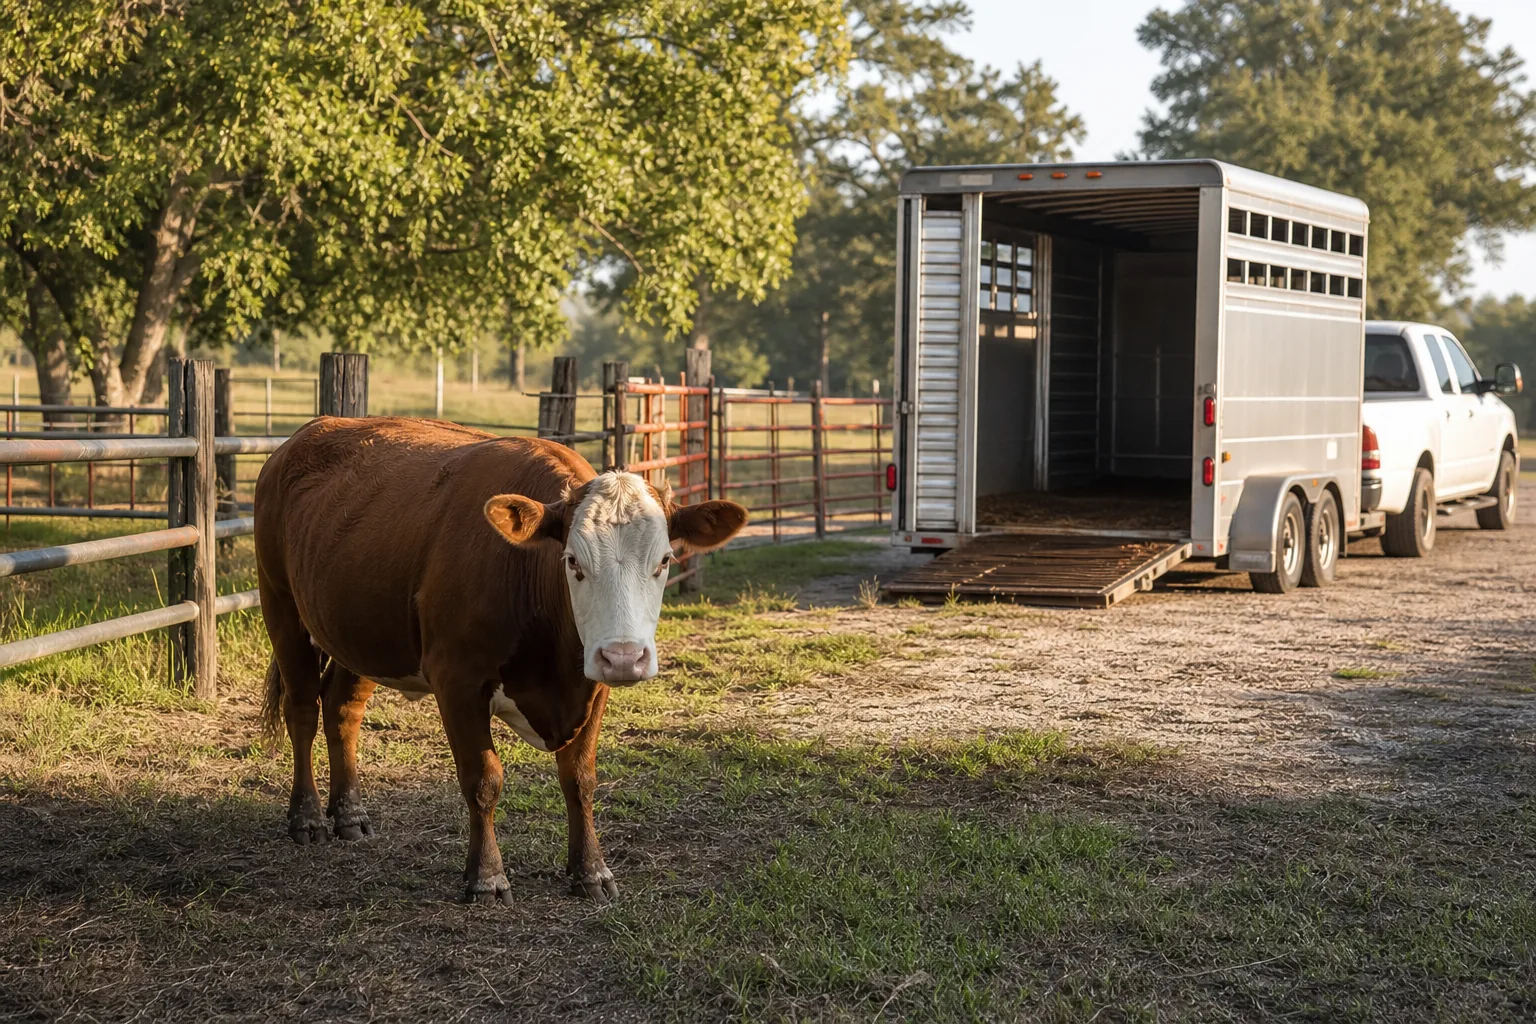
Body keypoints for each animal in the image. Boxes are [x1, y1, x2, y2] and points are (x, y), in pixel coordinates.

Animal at [254, 416, 747, 904]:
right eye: (573, 561)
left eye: (664, 560)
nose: (624, 656)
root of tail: (303, 435)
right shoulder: (457, 681)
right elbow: (483, 779)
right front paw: (487, 876)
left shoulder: (592, 683)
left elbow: (580, 779)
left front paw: (590, 870)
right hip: (280, 604)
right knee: (302, 709)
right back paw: (307, 818)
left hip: (363, 635)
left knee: (343, 709)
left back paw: (350, 814)